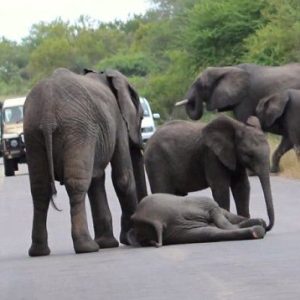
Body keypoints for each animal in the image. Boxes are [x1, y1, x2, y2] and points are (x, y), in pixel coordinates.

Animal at [24, 67, 148, 255]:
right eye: (141, 118)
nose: (140, 143)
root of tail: (47, 114)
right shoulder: (117, 122)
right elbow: (123, 179)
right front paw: (128, 241)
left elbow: (96, 178)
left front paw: (108, 243)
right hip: (77, 130)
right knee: (76, 185)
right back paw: (87, 247)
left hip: (33, 133)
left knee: (40, 189)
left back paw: (39, 252)